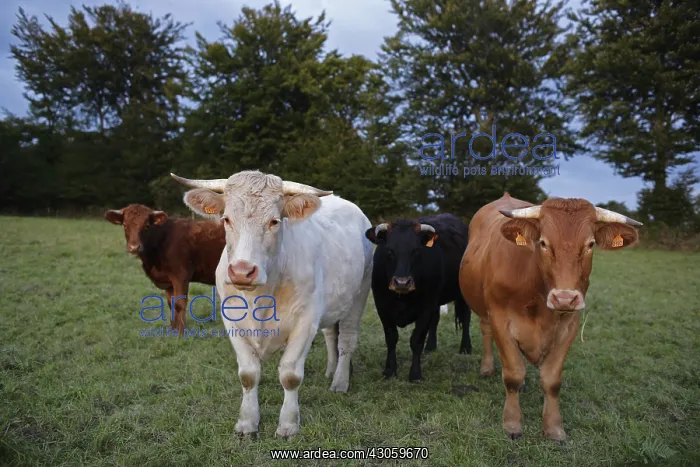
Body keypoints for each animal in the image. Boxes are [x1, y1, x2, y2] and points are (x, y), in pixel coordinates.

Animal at [104, 204, 226, 334]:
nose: (134, 247)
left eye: (147, 225)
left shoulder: (180, 276)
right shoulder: (168, 281)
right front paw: (172, 330)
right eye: (125, 225)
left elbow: (179, 304)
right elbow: (171, 303)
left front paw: (180, 333)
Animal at [170, 171, 373, 439]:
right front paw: (247, 423)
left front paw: (288, 425)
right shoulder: (232, 321)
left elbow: (290, 376)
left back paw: (339, 381)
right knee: (331, 334)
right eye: (226, 219)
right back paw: (330, 370)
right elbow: (248, 375)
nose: (242, 271)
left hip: (359, 293)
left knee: (347, 341)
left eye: (275, 221)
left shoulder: (306, 321)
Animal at [365, 214, 472, 382]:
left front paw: (415, 374)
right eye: (389, 251)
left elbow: (416, 340)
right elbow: (391, 338)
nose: (402, 282)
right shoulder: (382, 306)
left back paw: (466, 347)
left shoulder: (425, 308)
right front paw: (389, 371)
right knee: (436, 319)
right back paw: (430, 347)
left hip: (462, 292)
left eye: (415, 251)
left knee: (466, 318)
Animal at [458, 193, 642, 441]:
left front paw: (554, 427)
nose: (564, 298)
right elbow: (513, 374)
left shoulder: (570, 325)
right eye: (543, 243)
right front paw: (512, 424)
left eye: (590, 244)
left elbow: (552, 380)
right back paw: (487, 368)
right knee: (486, 331)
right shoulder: (499, 318)